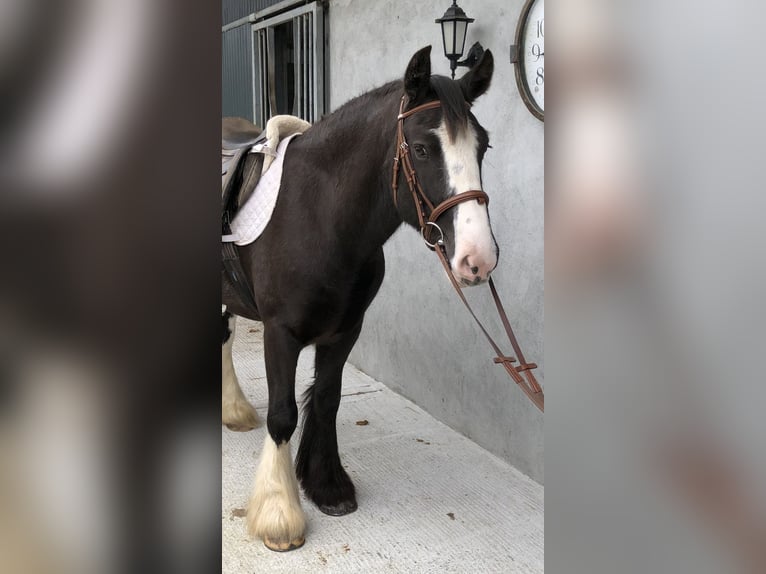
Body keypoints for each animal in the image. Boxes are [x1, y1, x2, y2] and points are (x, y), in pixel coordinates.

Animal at [222, 46, 498, 552]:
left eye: (482, 146)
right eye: (422, 148)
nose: (478, 259)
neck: (318, 215)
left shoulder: (346, 330)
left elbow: (327, 400)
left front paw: (327, 486)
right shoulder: (280, 333)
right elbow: (283, 415)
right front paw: (279, 515)